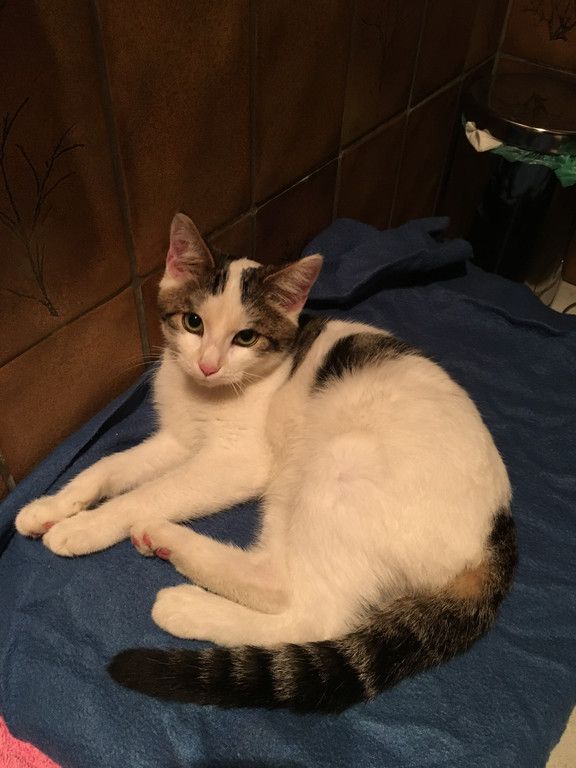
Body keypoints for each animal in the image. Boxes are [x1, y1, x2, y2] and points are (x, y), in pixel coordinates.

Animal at [15, 213, 516, 713]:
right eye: (193, 323)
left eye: (246, 337)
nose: (208, 365)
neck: (206, 394)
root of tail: (496, 535)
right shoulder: (176, 441)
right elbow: (106, 468)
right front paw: (50, 508)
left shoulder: (237, 462)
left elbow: (147, 493)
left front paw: (85, 527)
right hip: (291, 487)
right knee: (276, 574)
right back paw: (168, 545)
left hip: (333, 465)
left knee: (307, 611)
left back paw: (184, 598)